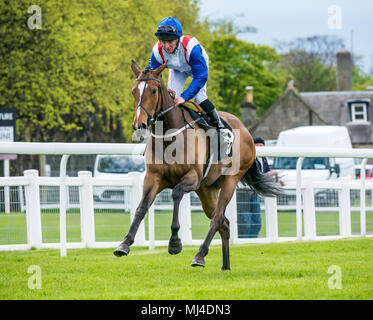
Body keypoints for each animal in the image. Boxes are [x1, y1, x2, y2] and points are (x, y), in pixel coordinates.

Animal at [112, 60, 280, 270]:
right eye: (134, 91)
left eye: (153, 90)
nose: (139, 125)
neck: (170, 137)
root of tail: (246, 131)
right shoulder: (153, 178)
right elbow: (142, 207)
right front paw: (124, 243)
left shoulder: (192, 178)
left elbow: (176, 193)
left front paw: (175, 243)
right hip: (206, 189)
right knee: (224, 223)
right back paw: (225, 266)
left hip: (230, 180)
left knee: (217, 218)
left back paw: (200, 255)